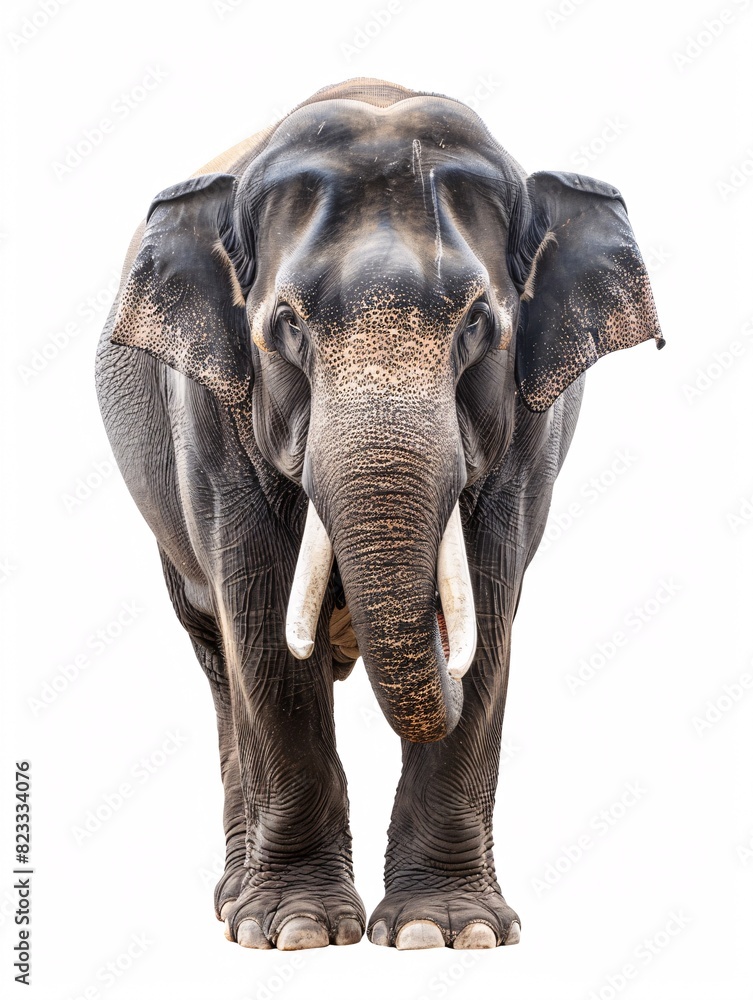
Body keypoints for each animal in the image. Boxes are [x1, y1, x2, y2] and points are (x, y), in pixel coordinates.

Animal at [95, 77, 663, 952]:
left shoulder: (532, 431)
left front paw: (445, 931)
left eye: (478, 324)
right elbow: (260, 617)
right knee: (220, 658)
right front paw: (294, 931)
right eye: (286, 326)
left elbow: (490, 598)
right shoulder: (208, 412)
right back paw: (231, 901)